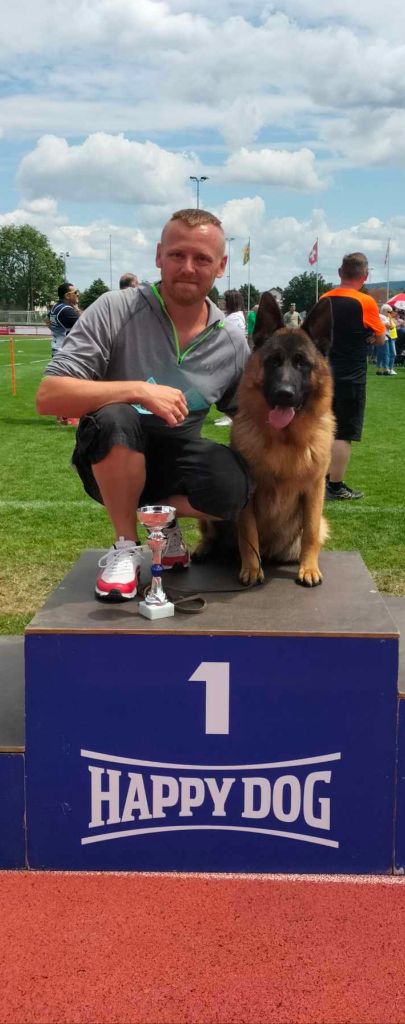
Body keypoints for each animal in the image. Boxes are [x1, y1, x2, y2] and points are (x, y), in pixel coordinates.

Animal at [194, 292, 333, 589]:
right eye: (273, 361)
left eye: (302, 363)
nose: (284, 394)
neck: (284, 441)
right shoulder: (248, 497)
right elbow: (249, 534)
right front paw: (251, 569)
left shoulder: (314, 492)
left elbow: (311, 533)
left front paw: (309, 568)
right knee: (210, 534)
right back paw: (203, 549)